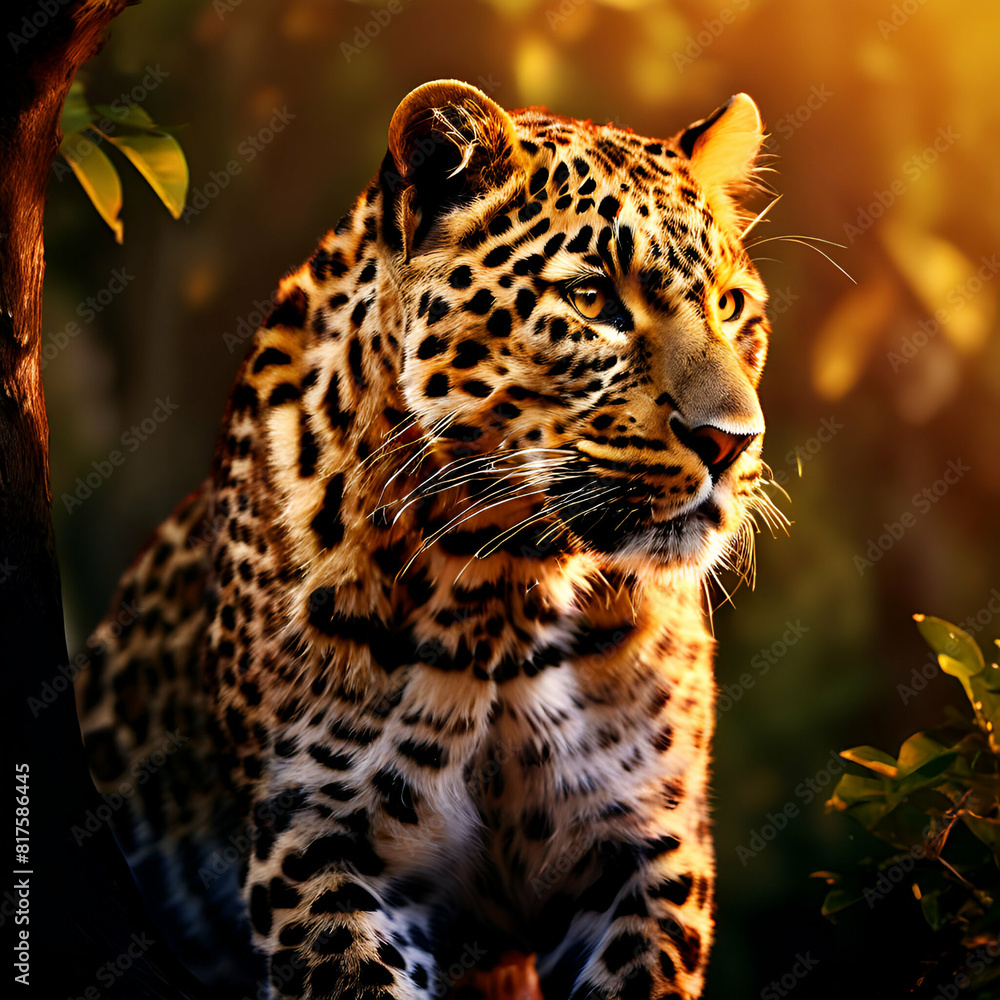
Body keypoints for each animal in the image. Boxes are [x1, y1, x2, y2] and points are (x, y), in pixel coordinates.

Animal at [75, 79, 776, 1000]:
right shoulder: (322, 842)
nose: (731, 441)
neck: (507, 587)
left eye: (732, 307)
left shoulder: (642, 848)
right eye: (592, 301)